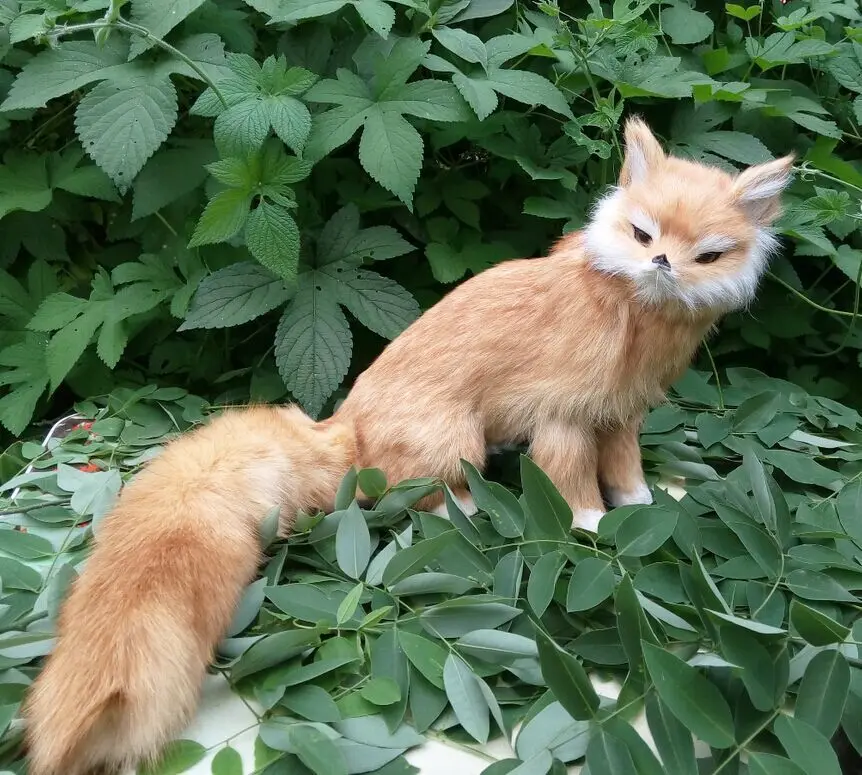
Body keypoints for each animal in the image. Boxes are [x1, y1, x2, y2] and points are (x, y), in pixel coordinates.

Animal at [22, 117, 794, 774]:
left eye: (707, 254)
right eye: (641, 233)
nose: (662, 263)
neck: (635, 320)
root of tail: (344, 425)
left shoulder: (620, 416)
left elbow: (628, 475)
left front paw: (640, 510)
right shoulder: (565, 420)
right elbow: (573, 489)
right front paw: (594, 528)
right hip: (458, 444)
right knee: (418, 500)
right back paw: (470, 515)